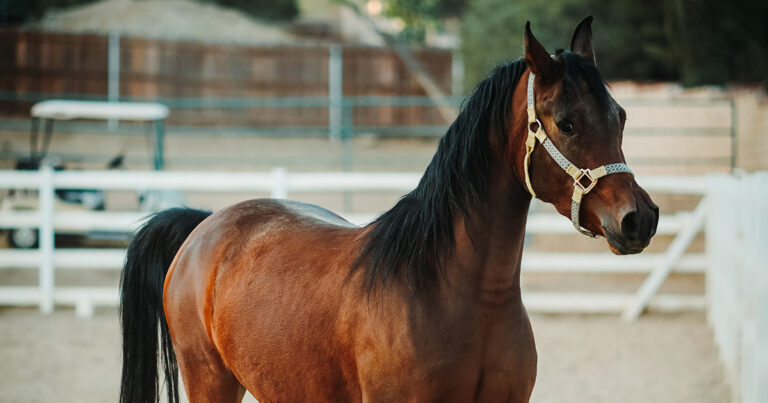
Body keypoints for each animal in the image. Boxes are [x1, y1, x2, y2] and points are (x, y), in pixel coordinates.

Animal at [120, 18, 660, 403]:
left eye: (620, 116)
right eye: (566, 123)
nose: (640, 218)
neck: (452, 292)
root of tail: (204, 226)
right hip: (210, 381)